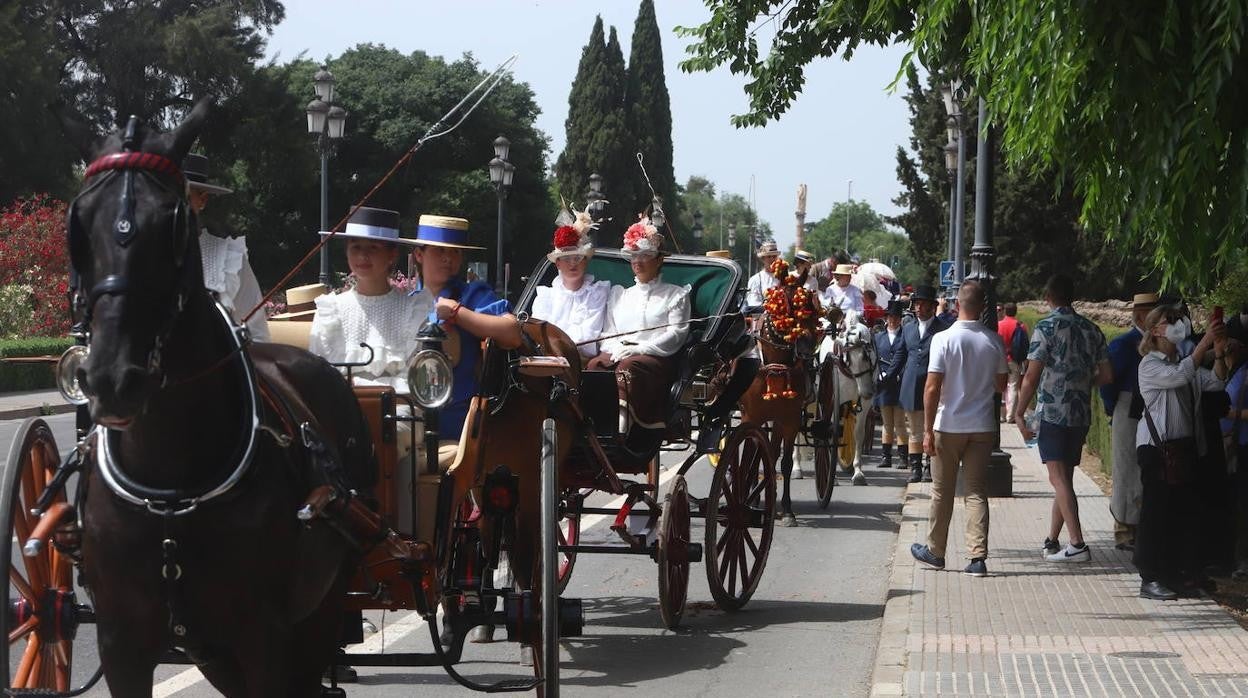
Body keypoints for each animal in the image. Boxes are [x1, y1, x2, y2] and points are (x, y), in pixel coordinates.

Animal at [63, 101, 374, 694]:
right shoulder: (122, 646)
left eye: (174, 223)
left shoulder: (264, 639)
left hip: (319, 612)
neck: (170, 485)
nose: (113, 376)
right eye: (79, 223)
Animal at [733, 264, 823, 526]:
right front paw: (750, 498)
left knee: (770, 453)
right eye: (784, 304)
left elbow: (783, 462)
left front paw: (787, 509)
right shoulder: (751, 417)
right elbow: (750, 458)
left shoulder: (790, 419)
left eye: (811, 305)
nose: (806, 345)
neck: (775, 365)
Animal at [818, 312, 878, 486]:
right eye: (848, 358)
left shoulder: (864, 404)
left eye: (867, 356)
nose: (866, 392)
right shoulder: (831, 400)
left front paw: (858, 472)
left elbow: (858, 433)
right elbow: (830, 430)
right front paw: (832, 477)